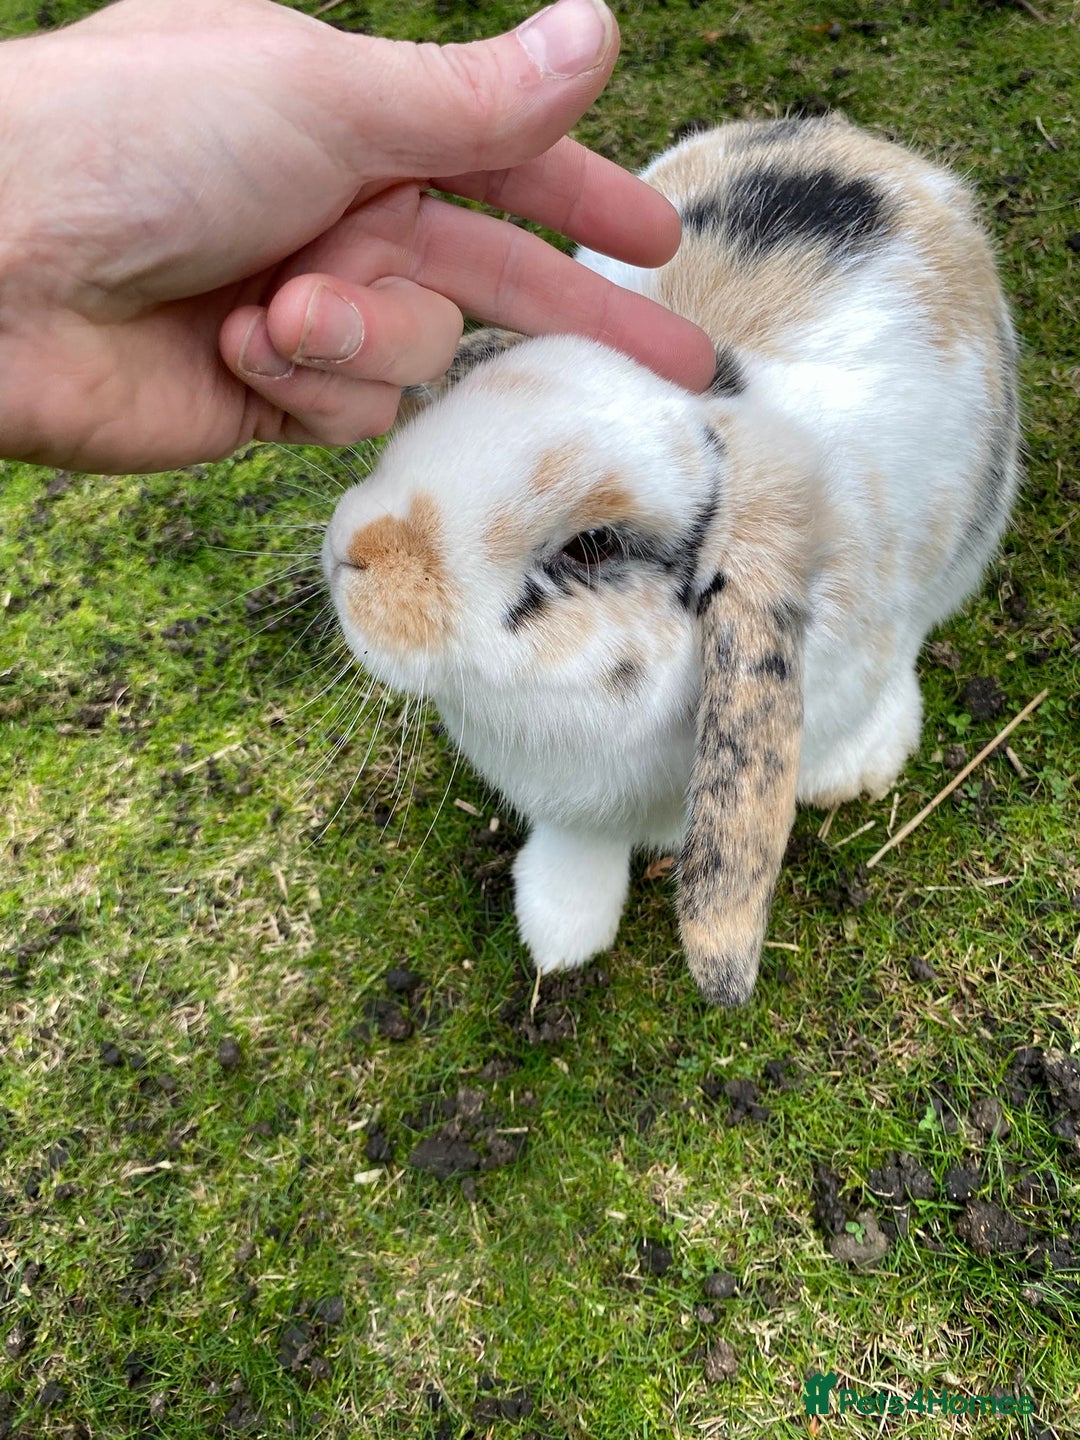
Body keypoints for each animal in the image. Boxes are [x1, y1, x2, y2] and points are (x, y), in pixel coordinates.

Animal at [321, 114, 1019, 1005]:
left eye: (591, 547)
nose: (351, 552)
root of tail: (896, 164)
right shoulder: (570, 804)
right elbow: (574, 847)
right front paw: (558, 932)